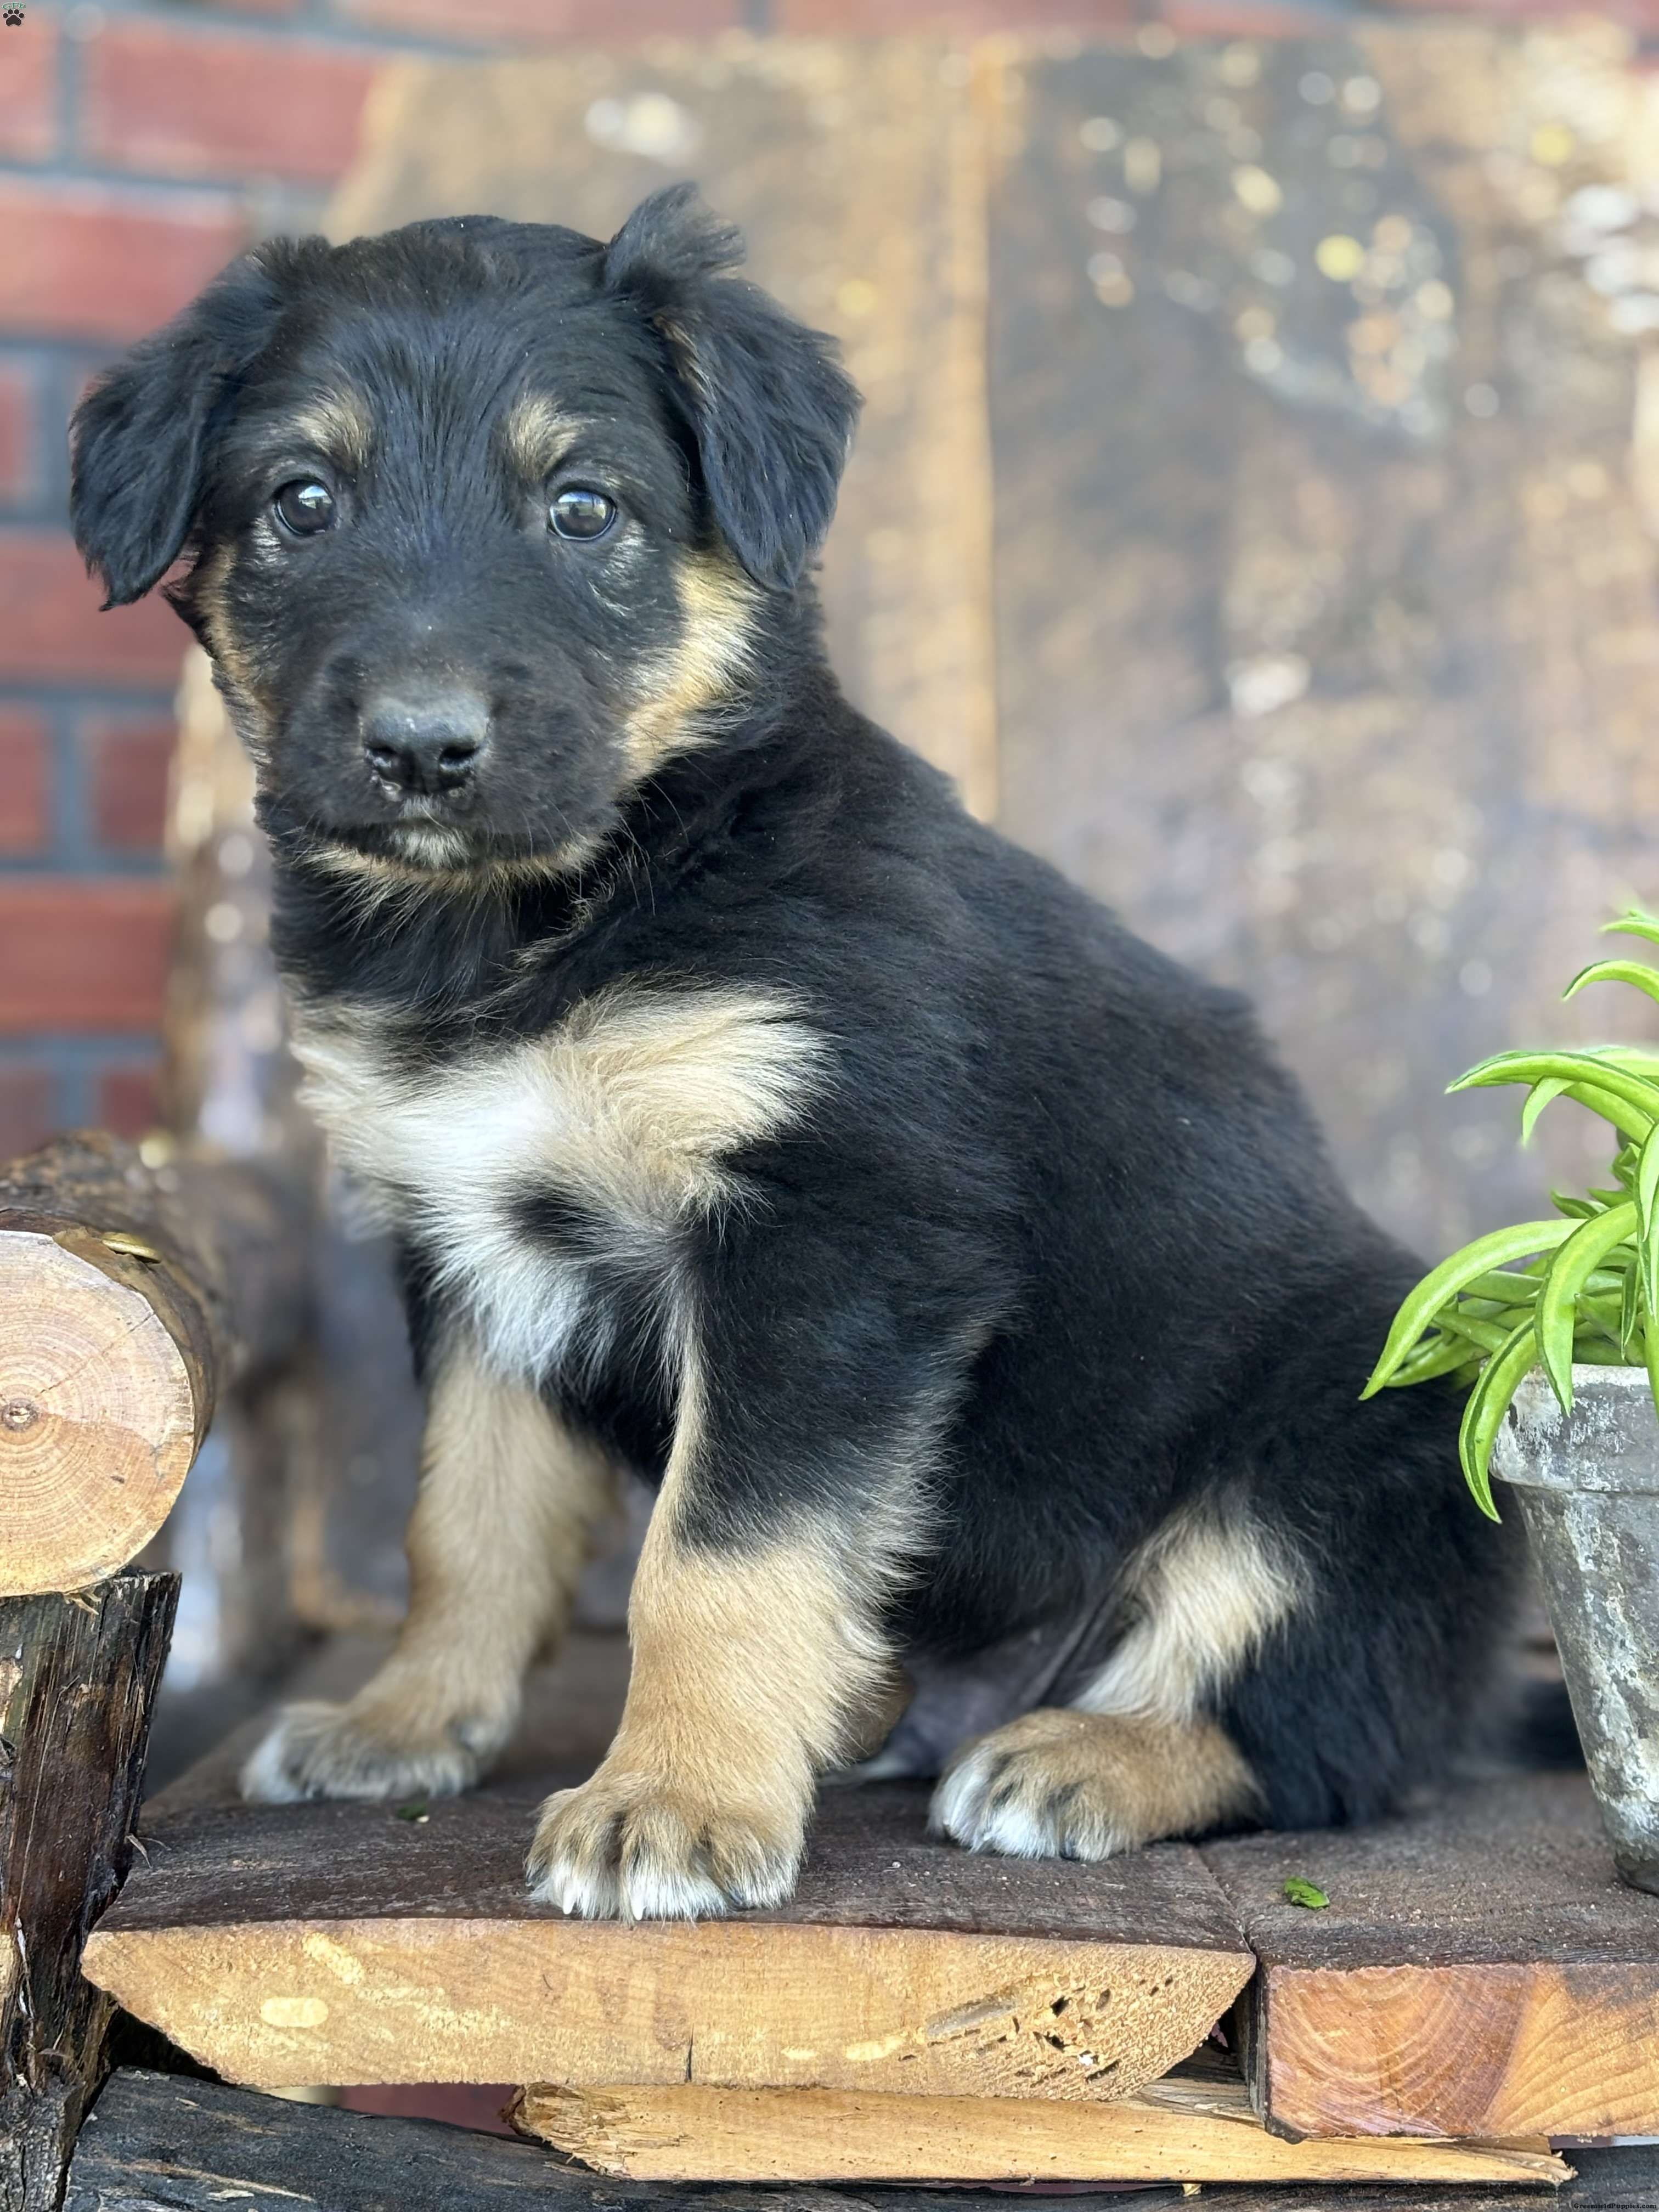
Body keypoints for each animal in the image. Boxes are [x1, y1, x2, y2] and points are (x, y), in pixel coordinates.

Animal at [70, 186, 1524, 1921]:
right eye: (302, 502)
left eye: (584, 508)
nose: (421, 750)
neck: (553, 923)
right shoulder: (469, 1242)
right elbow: (466, 1518)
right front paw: (412, 1723)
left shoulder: (833, 1241)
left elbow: (718, 1554)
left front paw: (676, 1803)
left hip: (1356, 1433)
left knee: (1318, 1729)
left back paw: (1088, 1756)